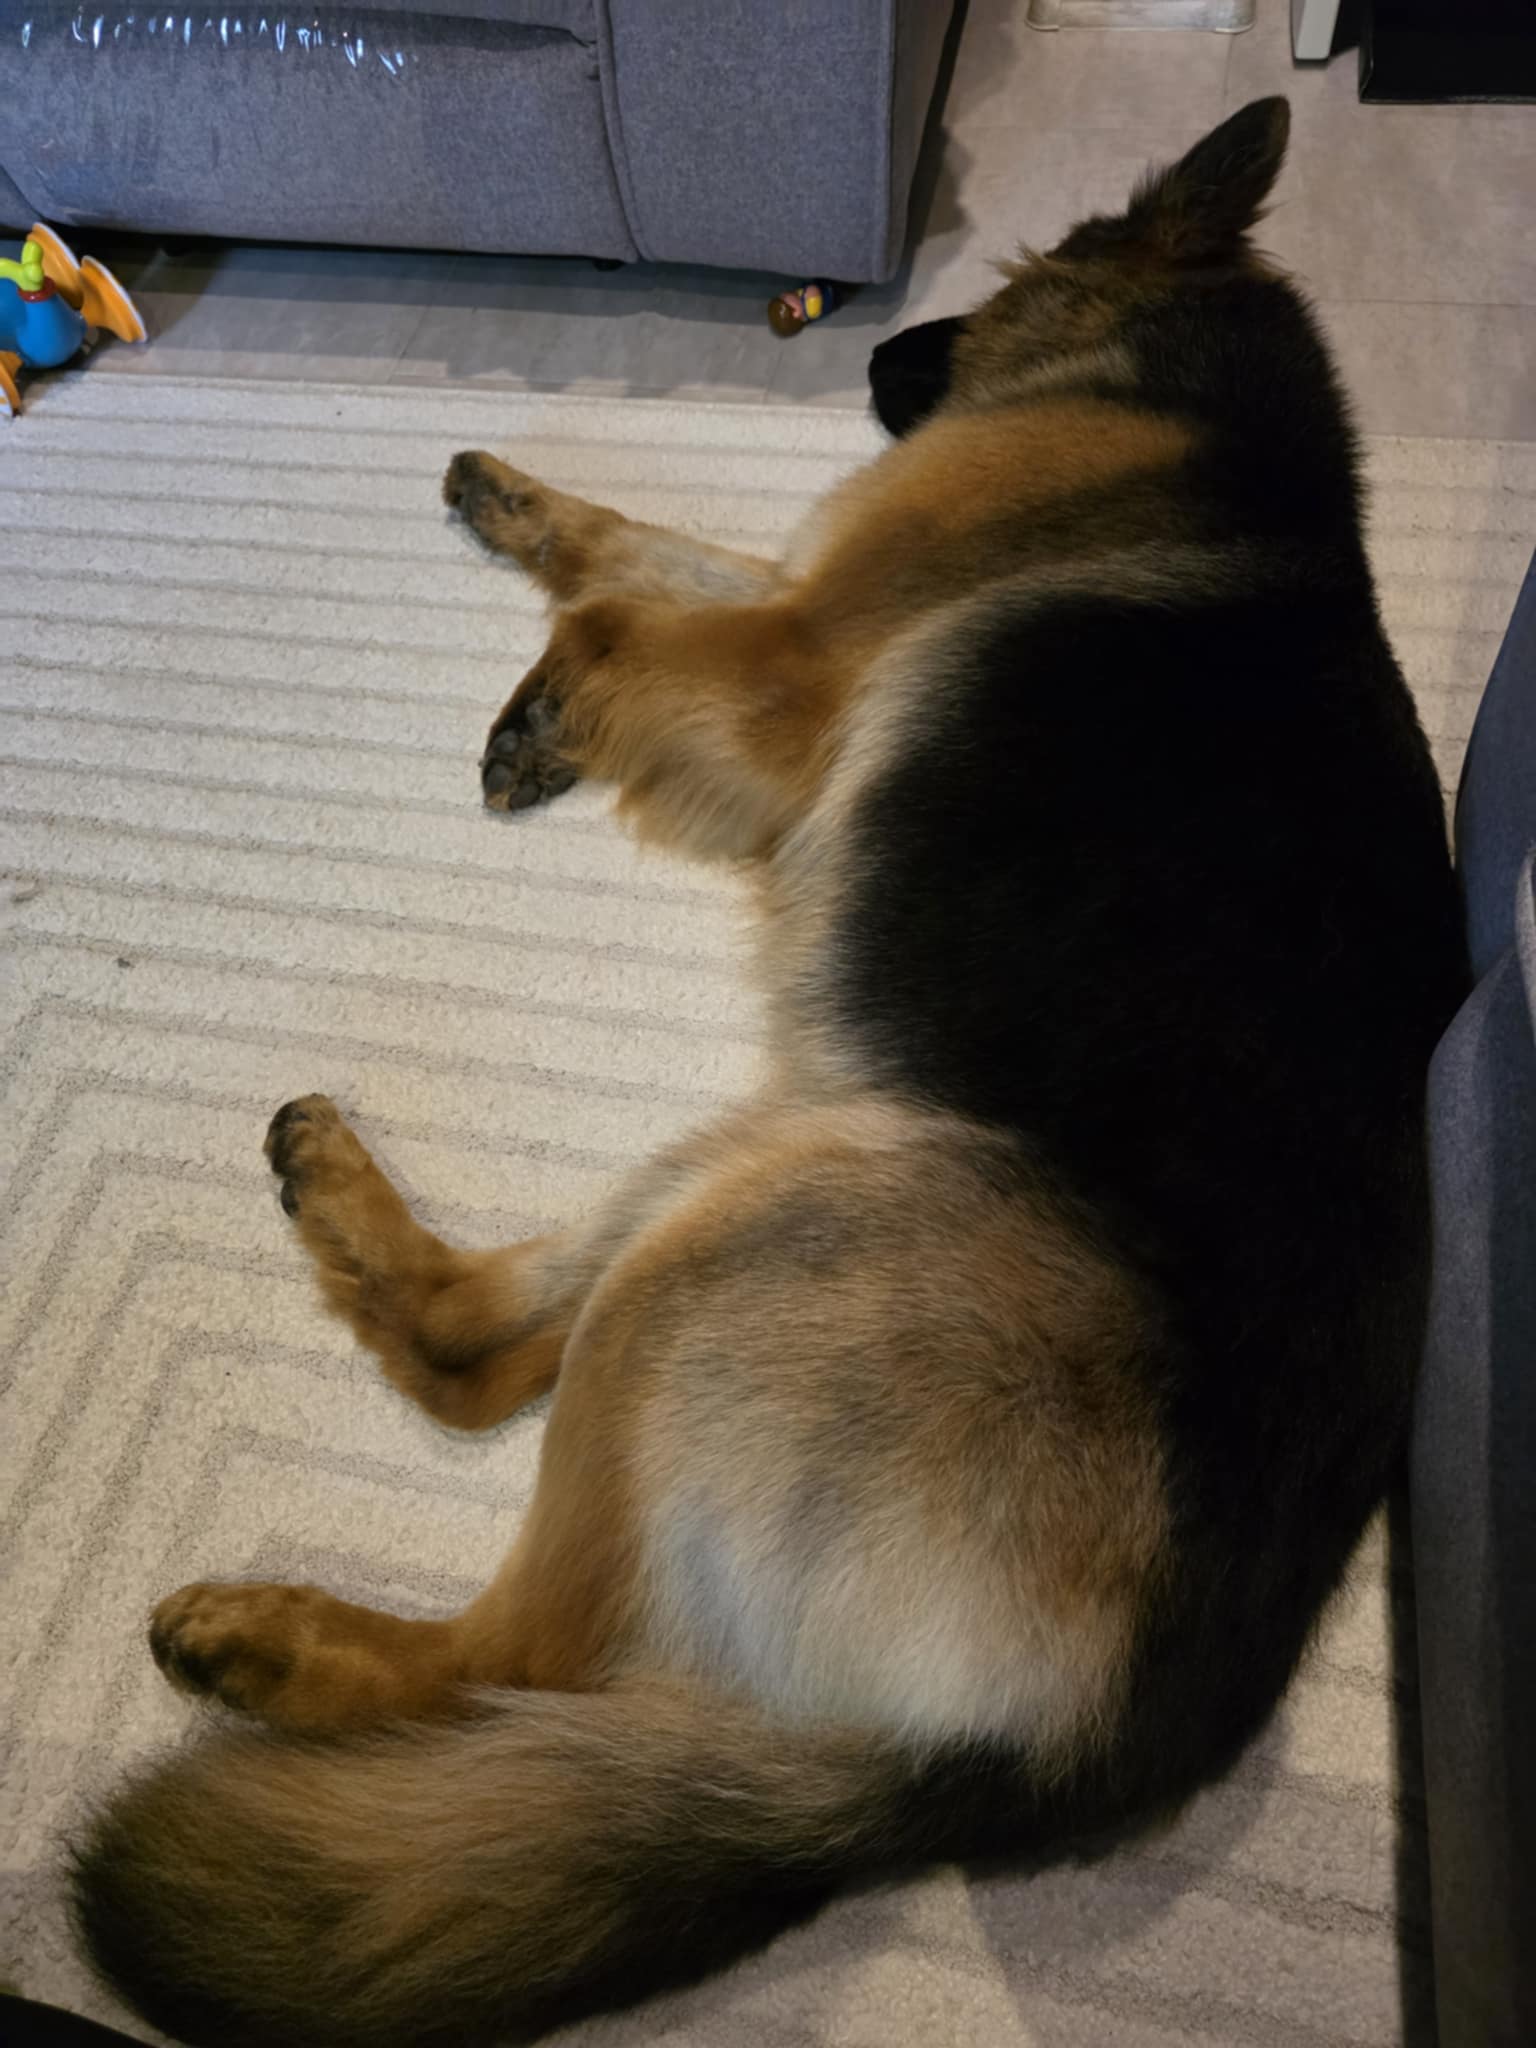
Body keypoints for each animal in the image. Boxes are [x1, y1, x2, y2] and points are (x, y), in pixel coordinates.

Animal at [71, 98, 1466, 2047]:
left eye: (1018, 268)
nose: (873, 357)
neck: (1197, 403)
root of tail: (1043, 1761)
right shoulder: (807, 599)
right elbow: (644, 541)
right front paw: (510, 498)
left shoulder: (808, 657)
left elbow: (624, 620)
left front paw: (542, 708)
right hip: (776, 1148)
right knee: (472, 1358)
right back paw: (333, 1188)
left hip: (804, 1209)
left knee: (513, 1647)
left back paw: (276, 1641)